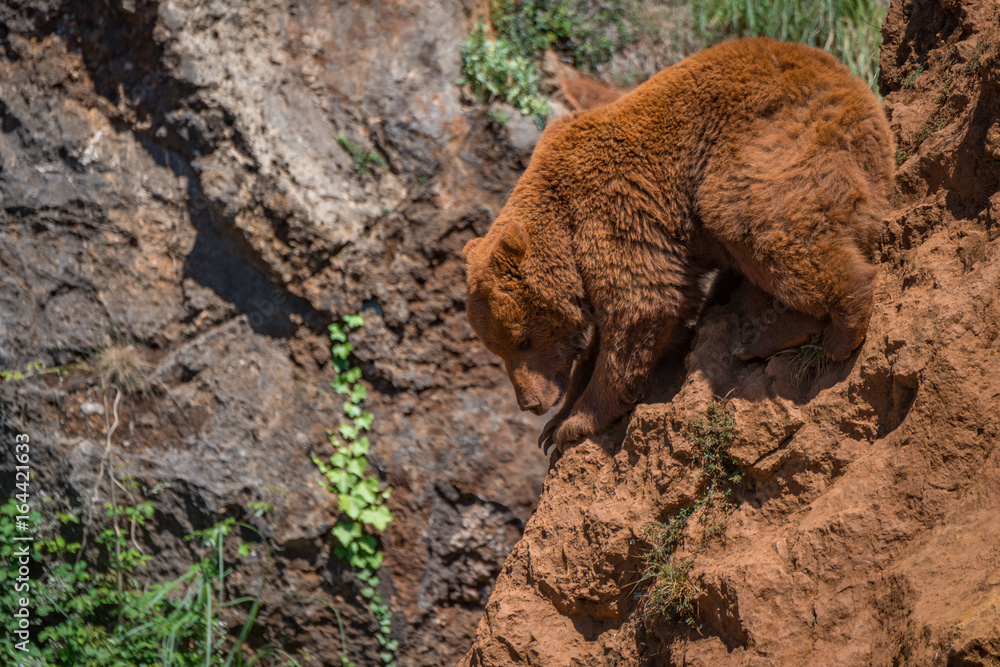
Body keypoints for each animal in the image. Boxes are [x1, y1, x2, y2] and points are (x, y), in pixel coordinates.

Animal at [462, 37, 894, 453]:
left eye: (522, 340)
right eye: (496, 348)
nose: (530, 403)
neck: (561, 222)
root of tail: (860, 93)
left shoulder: (612, 206)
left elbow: (642, 304)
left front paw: (573, 423)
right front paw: (554, 425)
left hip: (764, 146)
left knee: (764, 224)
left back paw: (831, 329)